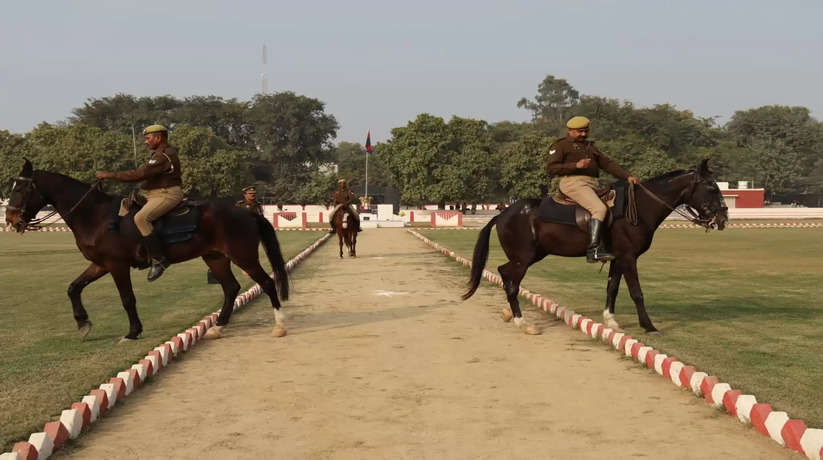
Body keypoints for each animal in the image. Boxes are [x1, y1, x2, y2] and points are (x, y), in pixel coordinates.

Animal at [2, 160, 290, 340]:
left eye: (23, 188)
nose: (12, 218)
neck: (95, 215)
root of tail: (246, 212)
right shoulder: (101, 264)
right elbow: (74, 288)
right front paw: (83, 323)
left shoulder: (116, 265)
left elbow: (127, 298)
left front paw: (132, 331)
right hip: (215, 257)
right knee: (230, 288)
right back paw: (218, 327)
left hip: (243, 256)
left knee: (266, 282)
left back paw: (279, 325)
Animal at [464, 161, 728, 334]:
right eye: (712, 188)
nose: (723, 217)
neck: (638, 209)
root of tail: (502, 214)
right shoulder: (629, 258)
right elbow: (637, 292)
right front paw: (649, 325)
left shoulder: (618, 258)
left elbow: (612, 288)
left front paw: (611, 320)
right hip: (524, 258)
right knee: (511, 280)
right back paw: (522, 322)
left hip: (533, 255)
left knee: (505, 274)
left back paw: (510, 314)